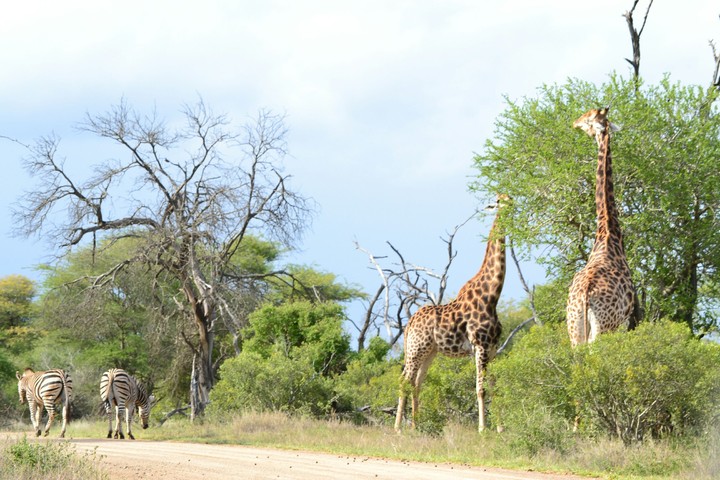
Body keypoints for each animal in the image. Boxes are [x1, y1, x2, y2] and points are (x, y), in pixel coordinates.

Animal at [394, 194, 509, 433]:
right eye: (498, 202)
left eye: (510, 198)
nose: (509, 206)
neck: (492, 296)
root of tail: (409, 324)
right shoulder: (480, 346)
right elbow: (481, 388)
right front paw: (483, 429)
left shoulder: (493, 348)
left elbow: (494, 387)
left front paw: (501, 429)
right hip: (416, 349)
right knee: (405, 380)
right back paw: (398, 428)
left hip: (430, 351)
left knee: (416, 382)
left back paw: (416, 426)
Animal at [566, 107, 638, 347]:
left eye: (587, 119)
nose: (575, 123)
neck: (608, 231)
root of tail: (585, 295)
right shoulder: (625, 321)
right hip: (603, 327)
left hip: (575, 328)